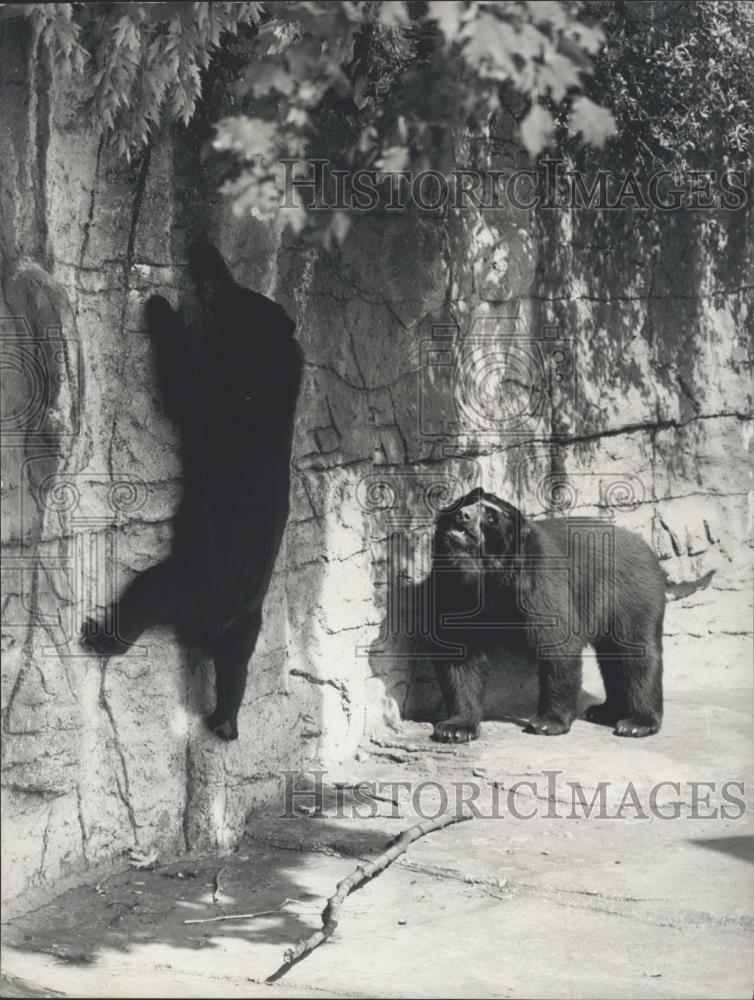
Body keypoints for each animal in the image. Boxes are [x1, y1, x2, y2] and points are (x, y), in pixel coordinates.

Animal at [81, 240, 304, 741]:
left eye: (235, 304)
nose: (208, 290)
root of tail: (222, 619)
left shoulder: (223, 402)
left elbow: (182, 389)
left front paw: (159, 306)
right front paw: (206, 253)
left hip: (192, 581)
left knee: (147, 596)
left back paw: (101, 635)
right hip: (249, 623)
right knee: (236, 667)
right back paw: (225, 722)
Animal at [427, 487, 666, 742]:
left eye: (491, 518)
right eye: (469, 502)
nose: (464, 515)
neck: (487, 576)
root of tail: (647, 548)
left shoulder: (538, 583)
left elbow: (558, 643)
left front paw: (547, 723)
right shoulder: (457, 590)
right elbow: (459, 653)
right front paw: (455, 728)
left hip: (632, 594)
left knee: (636, 653)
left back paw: (637, 723)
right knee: (612, 658)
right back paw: (606, 711)